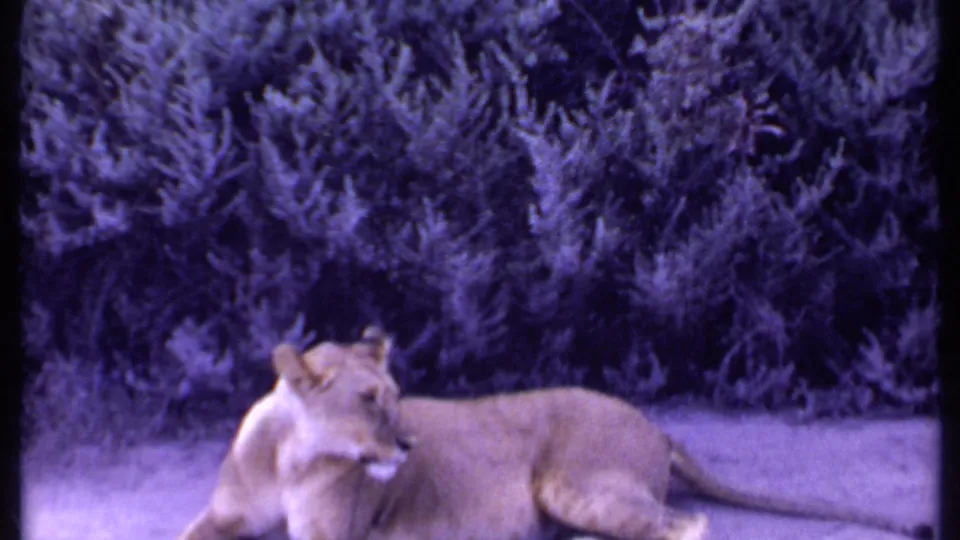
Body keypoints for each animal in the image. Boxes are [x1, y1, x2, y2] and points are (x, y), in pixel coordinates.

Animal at [178, 327, 934, 540]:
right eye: (369, 401)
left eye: (397, 398)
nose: (410, 447)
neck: (288, 456)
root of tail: (655, 424)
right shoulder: (224, 518)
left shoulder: (334, 538)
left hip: (571, 487)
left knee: (686, 526)